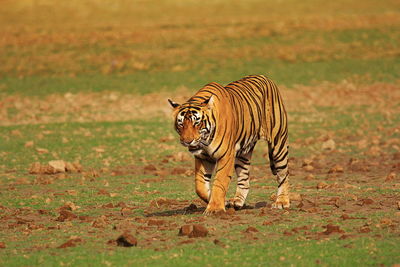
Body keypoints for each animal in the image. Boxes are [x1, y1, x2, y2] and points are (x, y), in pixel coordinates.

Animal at [167, 75, 290, 216]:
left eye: (197, 123)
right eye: (181, 124)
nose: (187, 141)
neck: (206, 140)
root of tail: (265, 77)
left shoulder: (225, 156)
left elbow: (220, 182)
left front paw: (215, 208)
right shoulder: (203, 158)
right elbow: (200, 186)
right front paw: (222, 202)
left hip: (278, 143)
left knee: (283, 174)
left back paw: (282, 202)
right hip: (243, 154)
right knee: (244, 178)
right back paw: (237, 202)